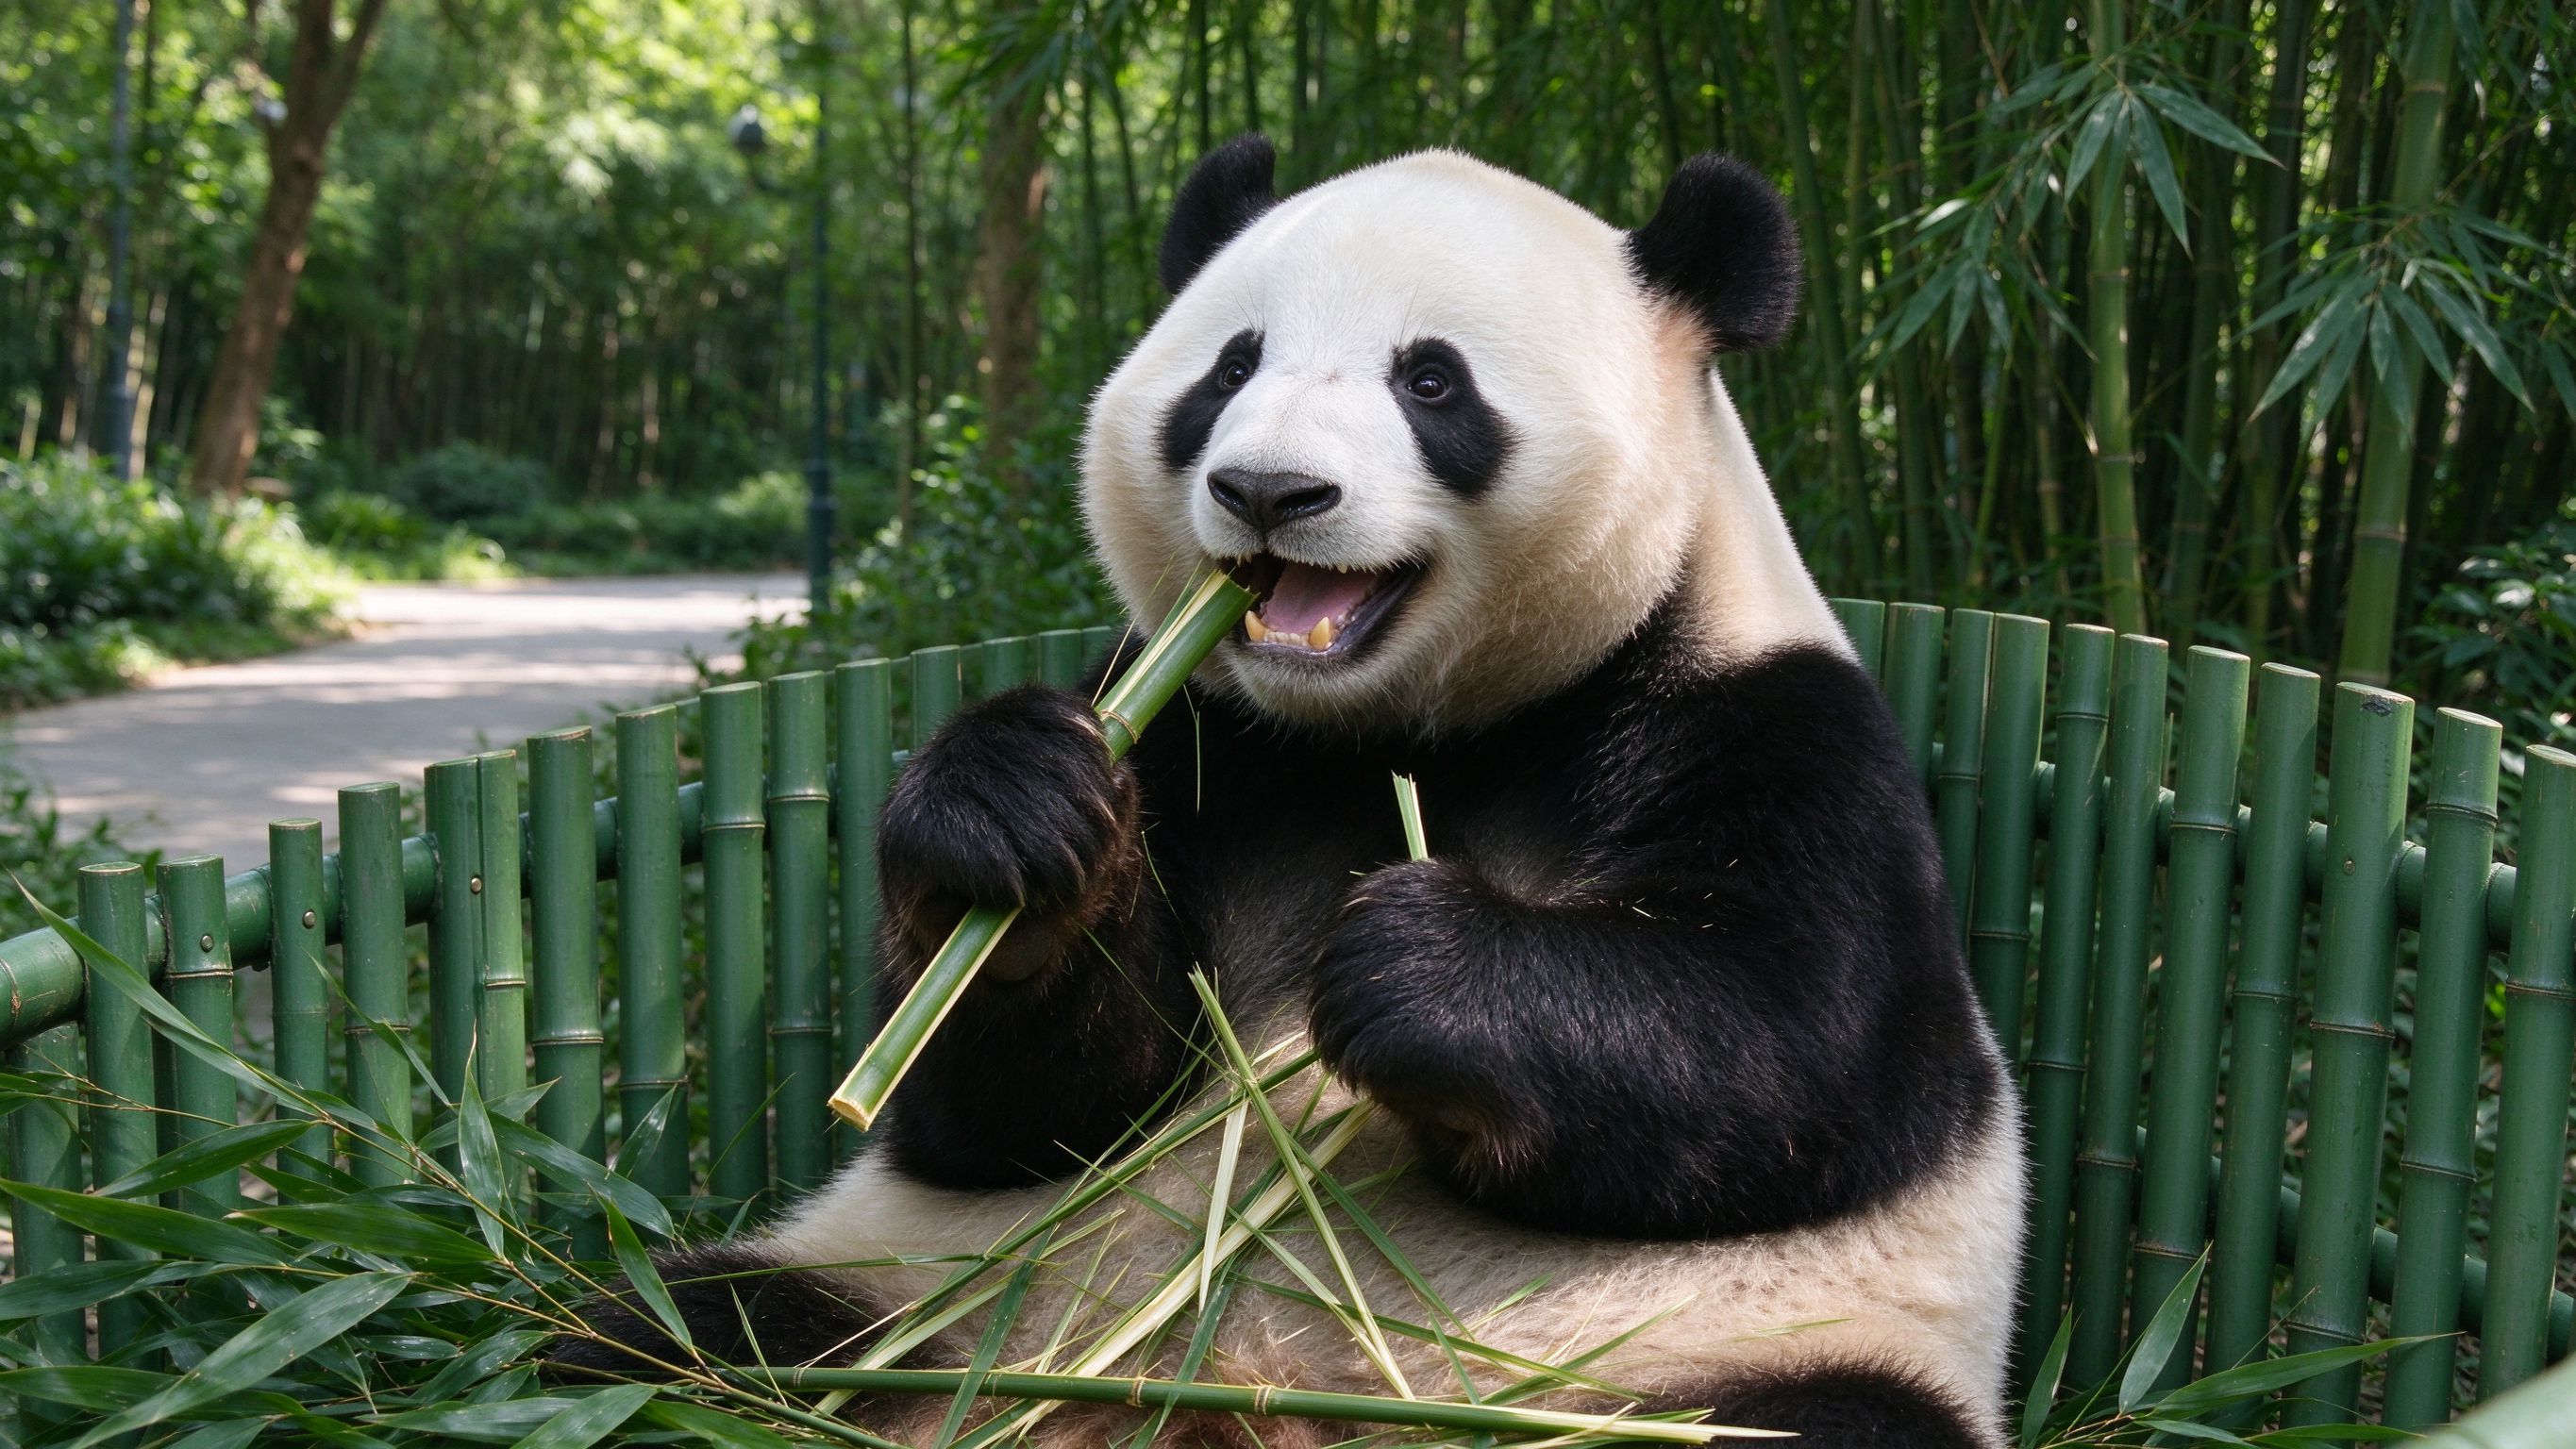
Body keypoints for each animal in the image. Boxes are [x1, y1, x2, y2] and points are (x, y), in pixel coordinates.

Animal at [560, 137, 2025, 1449]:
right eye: (1228, 368)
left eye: (1431, 381)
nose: (1269, 489)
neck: (1398, 733)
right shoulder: (1193, 728)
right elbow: (1005, 1117)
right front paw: (1010, 824)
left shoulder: (1773, 726)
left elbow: (1804, 1055)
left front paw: (1408, 962)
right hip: (911, 1302)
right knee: (642, 1346)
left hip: (1707, 1362)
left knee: (1814, 1423)